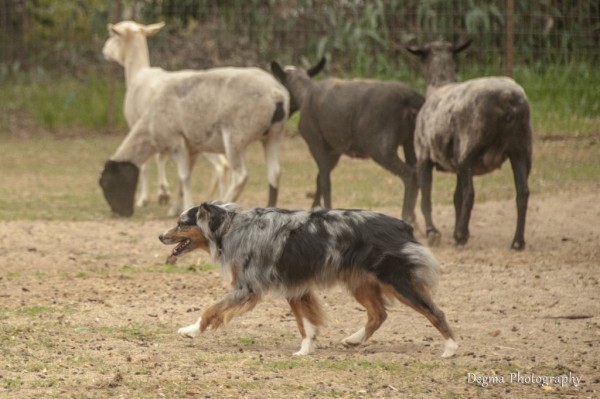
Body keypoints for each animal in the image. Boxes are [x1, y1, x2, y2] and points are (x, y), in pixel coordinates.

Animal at [98, 64, 290, 217]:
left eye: (105, 183)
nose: (120, 213)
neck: (150, 127)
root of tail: (276, 94)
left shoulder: (176, 142)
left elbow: (184, 177)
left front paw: (187, 206)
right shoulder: (192, 149)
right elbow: (180, 179)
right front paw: (175, 209)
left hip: (235, 137)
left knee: (240, 176)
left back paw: (224, 203)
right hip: (274, 135)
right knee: (274, 172)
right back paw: (270, 207)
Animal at [101, 21, 227, 209]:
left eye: (113, 35)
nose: (104, 50)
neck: (137, 73)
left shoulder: (136, 124)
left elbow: (146, 164)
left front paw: (145, 198)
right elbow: (161, 158)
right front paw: (164, 194)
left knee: (221, 166)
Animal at [270, 58, 424, 225]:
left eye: (280, 83)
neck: (304, 94)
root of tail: (412, 99)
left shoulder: (316, 143)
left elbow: (324, 182)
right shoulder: (335, 150)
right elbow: (319, 179)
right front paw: (314, 208)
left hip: (381, 147)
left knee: (410, 175)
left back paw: (408, 217)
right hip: (410, 141)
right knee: (418, 172)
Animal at [406, 39, 532, 248]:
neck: (439, 84)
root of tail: (507, 100)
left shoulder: (424, 156)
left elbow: (426, 198)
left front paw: (433, 232)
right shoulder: (456, 165)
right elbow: (455, 198)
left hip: (468, 150)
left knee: (470, 194)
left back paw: (461, 235)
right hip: (521, 151)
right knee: (522, 193)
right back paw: (517, 241)